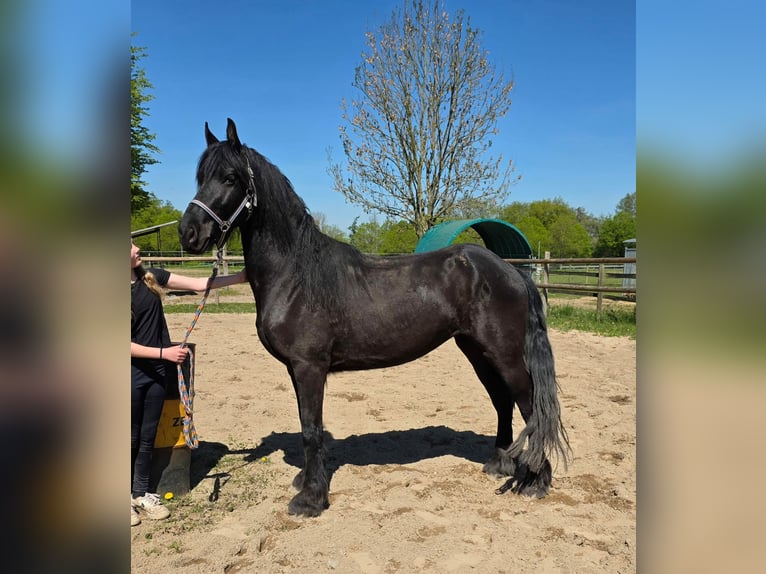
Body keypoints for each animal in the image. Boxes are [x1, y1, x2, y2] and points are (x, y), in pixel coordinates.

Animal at [179, 118, 570, 517]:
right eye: (201, 177)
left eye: (230, 178)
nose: (188, 232)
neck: (296, 274)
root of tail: (512, 270)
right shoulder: (295, 369)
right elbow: (306, 425)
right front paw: (307, 482)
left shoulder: (309, 367)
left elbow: (312, 429)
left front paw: (311, 499)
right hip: (477, 350)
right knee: (502, 401)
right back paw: (500, 464)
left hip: (505, 355)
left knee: (531, 407)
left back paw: (535, 481)